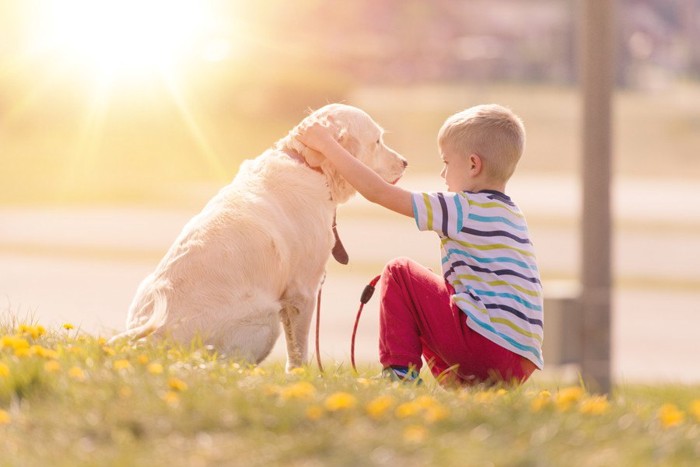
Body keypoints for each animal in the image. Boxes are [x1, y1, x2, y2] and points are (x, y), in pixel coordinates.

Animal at [111, 104, 408, 372]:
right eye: (378, 141)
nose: (405, 162)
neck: (309, 165)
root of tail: (154, 337)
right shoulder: (302, 291)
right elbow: (298, 349)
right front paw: (301, 377)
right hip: (265, 318)